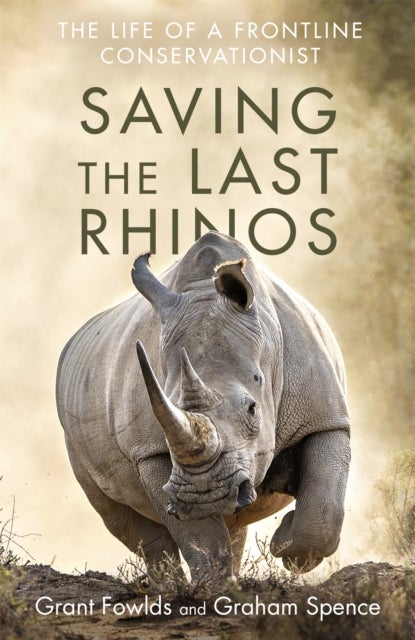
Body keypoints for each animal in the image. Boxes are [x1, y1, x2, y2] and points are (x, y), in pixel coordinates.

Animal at [56, 232, 350, 578]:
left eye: (252, 409)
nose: (204, 496)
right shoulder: (150, 451)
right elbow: (200, 536)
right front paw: (215, 586)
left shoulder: (325, 416)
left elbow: (324, 507)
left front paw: (286, 550)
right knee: (118, 515)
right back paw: (169, 585)